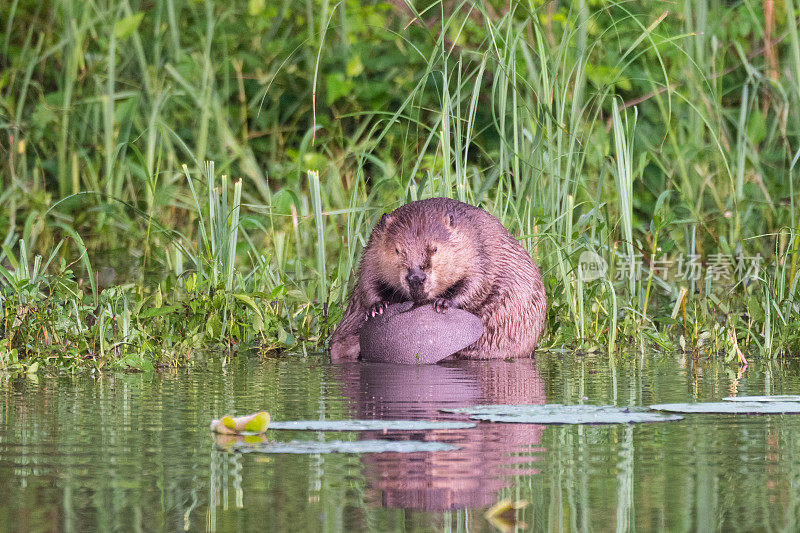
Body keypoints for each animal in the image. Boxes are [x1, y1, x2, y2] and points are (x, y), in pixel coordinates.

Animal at [328, 197, 548, 360]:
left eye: (434, 249)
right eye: (397, 250)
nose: (416, 278)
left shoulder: (479, 248)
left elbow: (478, 283)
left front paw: (444, 303)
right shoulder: (373, 248)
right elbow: (367, 281)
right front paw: (377, 307)